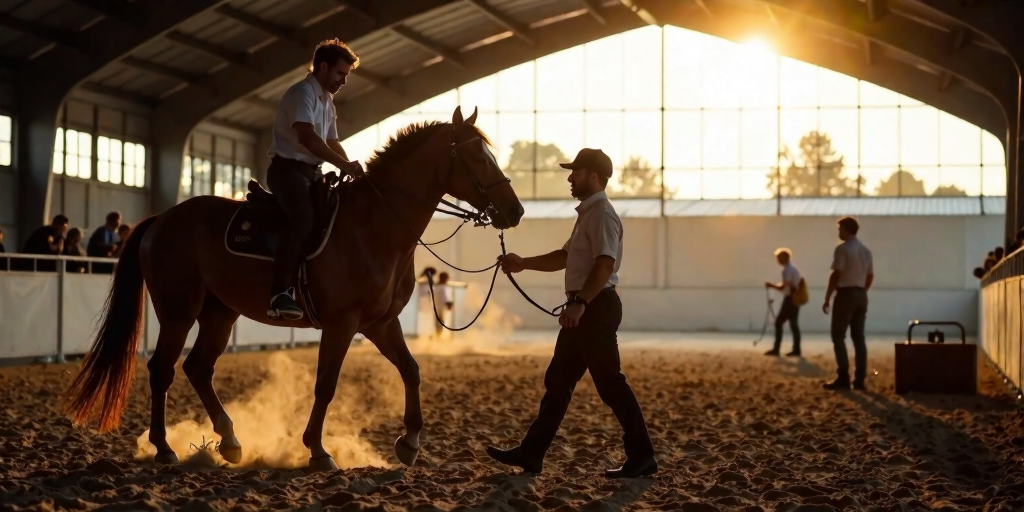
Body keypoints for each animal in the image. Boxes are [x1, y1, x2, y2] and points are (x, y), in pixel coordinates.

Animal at [60, 105, 524, 468]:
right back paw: (164, 448)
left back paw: (230, 441)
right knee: (162, 369)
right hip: (178, 311)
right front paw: (318, 451)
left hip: (219, 313)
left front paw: (409, 443)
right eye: (477, 156)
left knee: (198, 368)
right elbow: (326, 384)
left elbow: (411, 370)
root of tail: (162, 219)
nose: (515, 210)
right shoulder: (342, 324)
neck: (374, 225)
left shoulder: (380, 323)